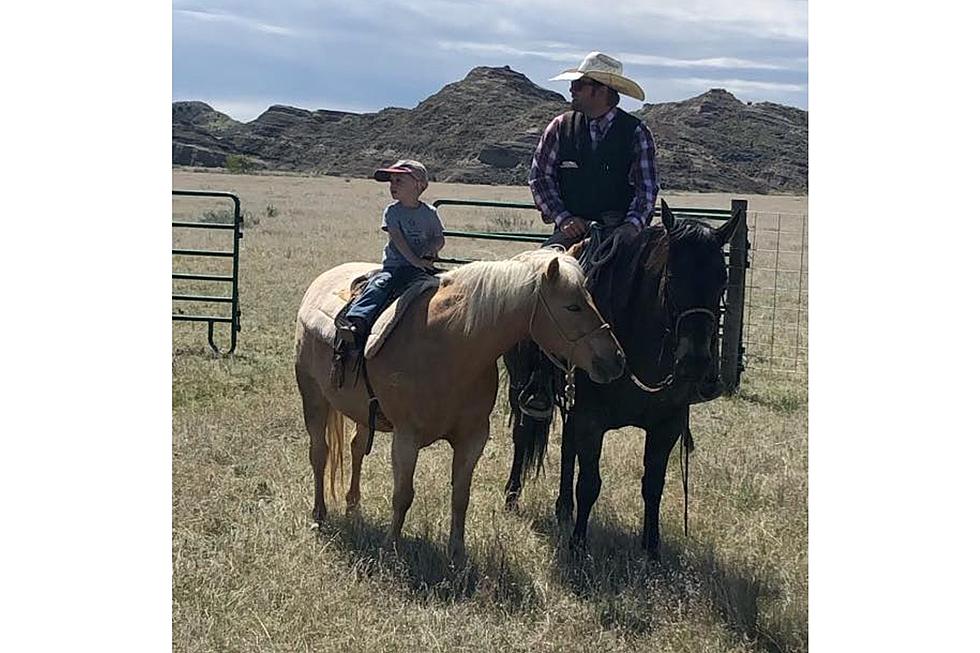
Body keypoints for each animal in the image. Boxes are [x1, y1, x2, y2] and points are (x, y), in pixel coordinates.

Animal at [294, 247, 624, 564]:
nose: (616, 360)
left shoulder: (472, 438)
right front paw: (391, 548)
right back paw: (319, 514)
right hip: (313, 396)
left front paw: (457, 554)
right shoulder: (406, 438)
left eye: (591, 300)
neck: (449, 345)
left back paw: (353, 506)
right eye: (572, 307)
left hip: (364, 413)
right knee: (320, 453)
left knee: (356, 448)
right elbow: (403, 495)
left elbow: (460, 497)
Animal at [506, 201, 744, 556]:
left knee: (567, 448)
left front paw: (652, 549)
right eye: (672, 277)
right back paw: (512, 497)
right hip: (520, 387)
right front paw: (578, 547)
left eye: (722, 280)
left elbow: (653, 486)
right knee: (522, 436)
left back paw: (563, 508)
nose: (696, 363)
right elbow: (589, 484)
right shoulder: (591, 420)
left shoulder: (666, 426)